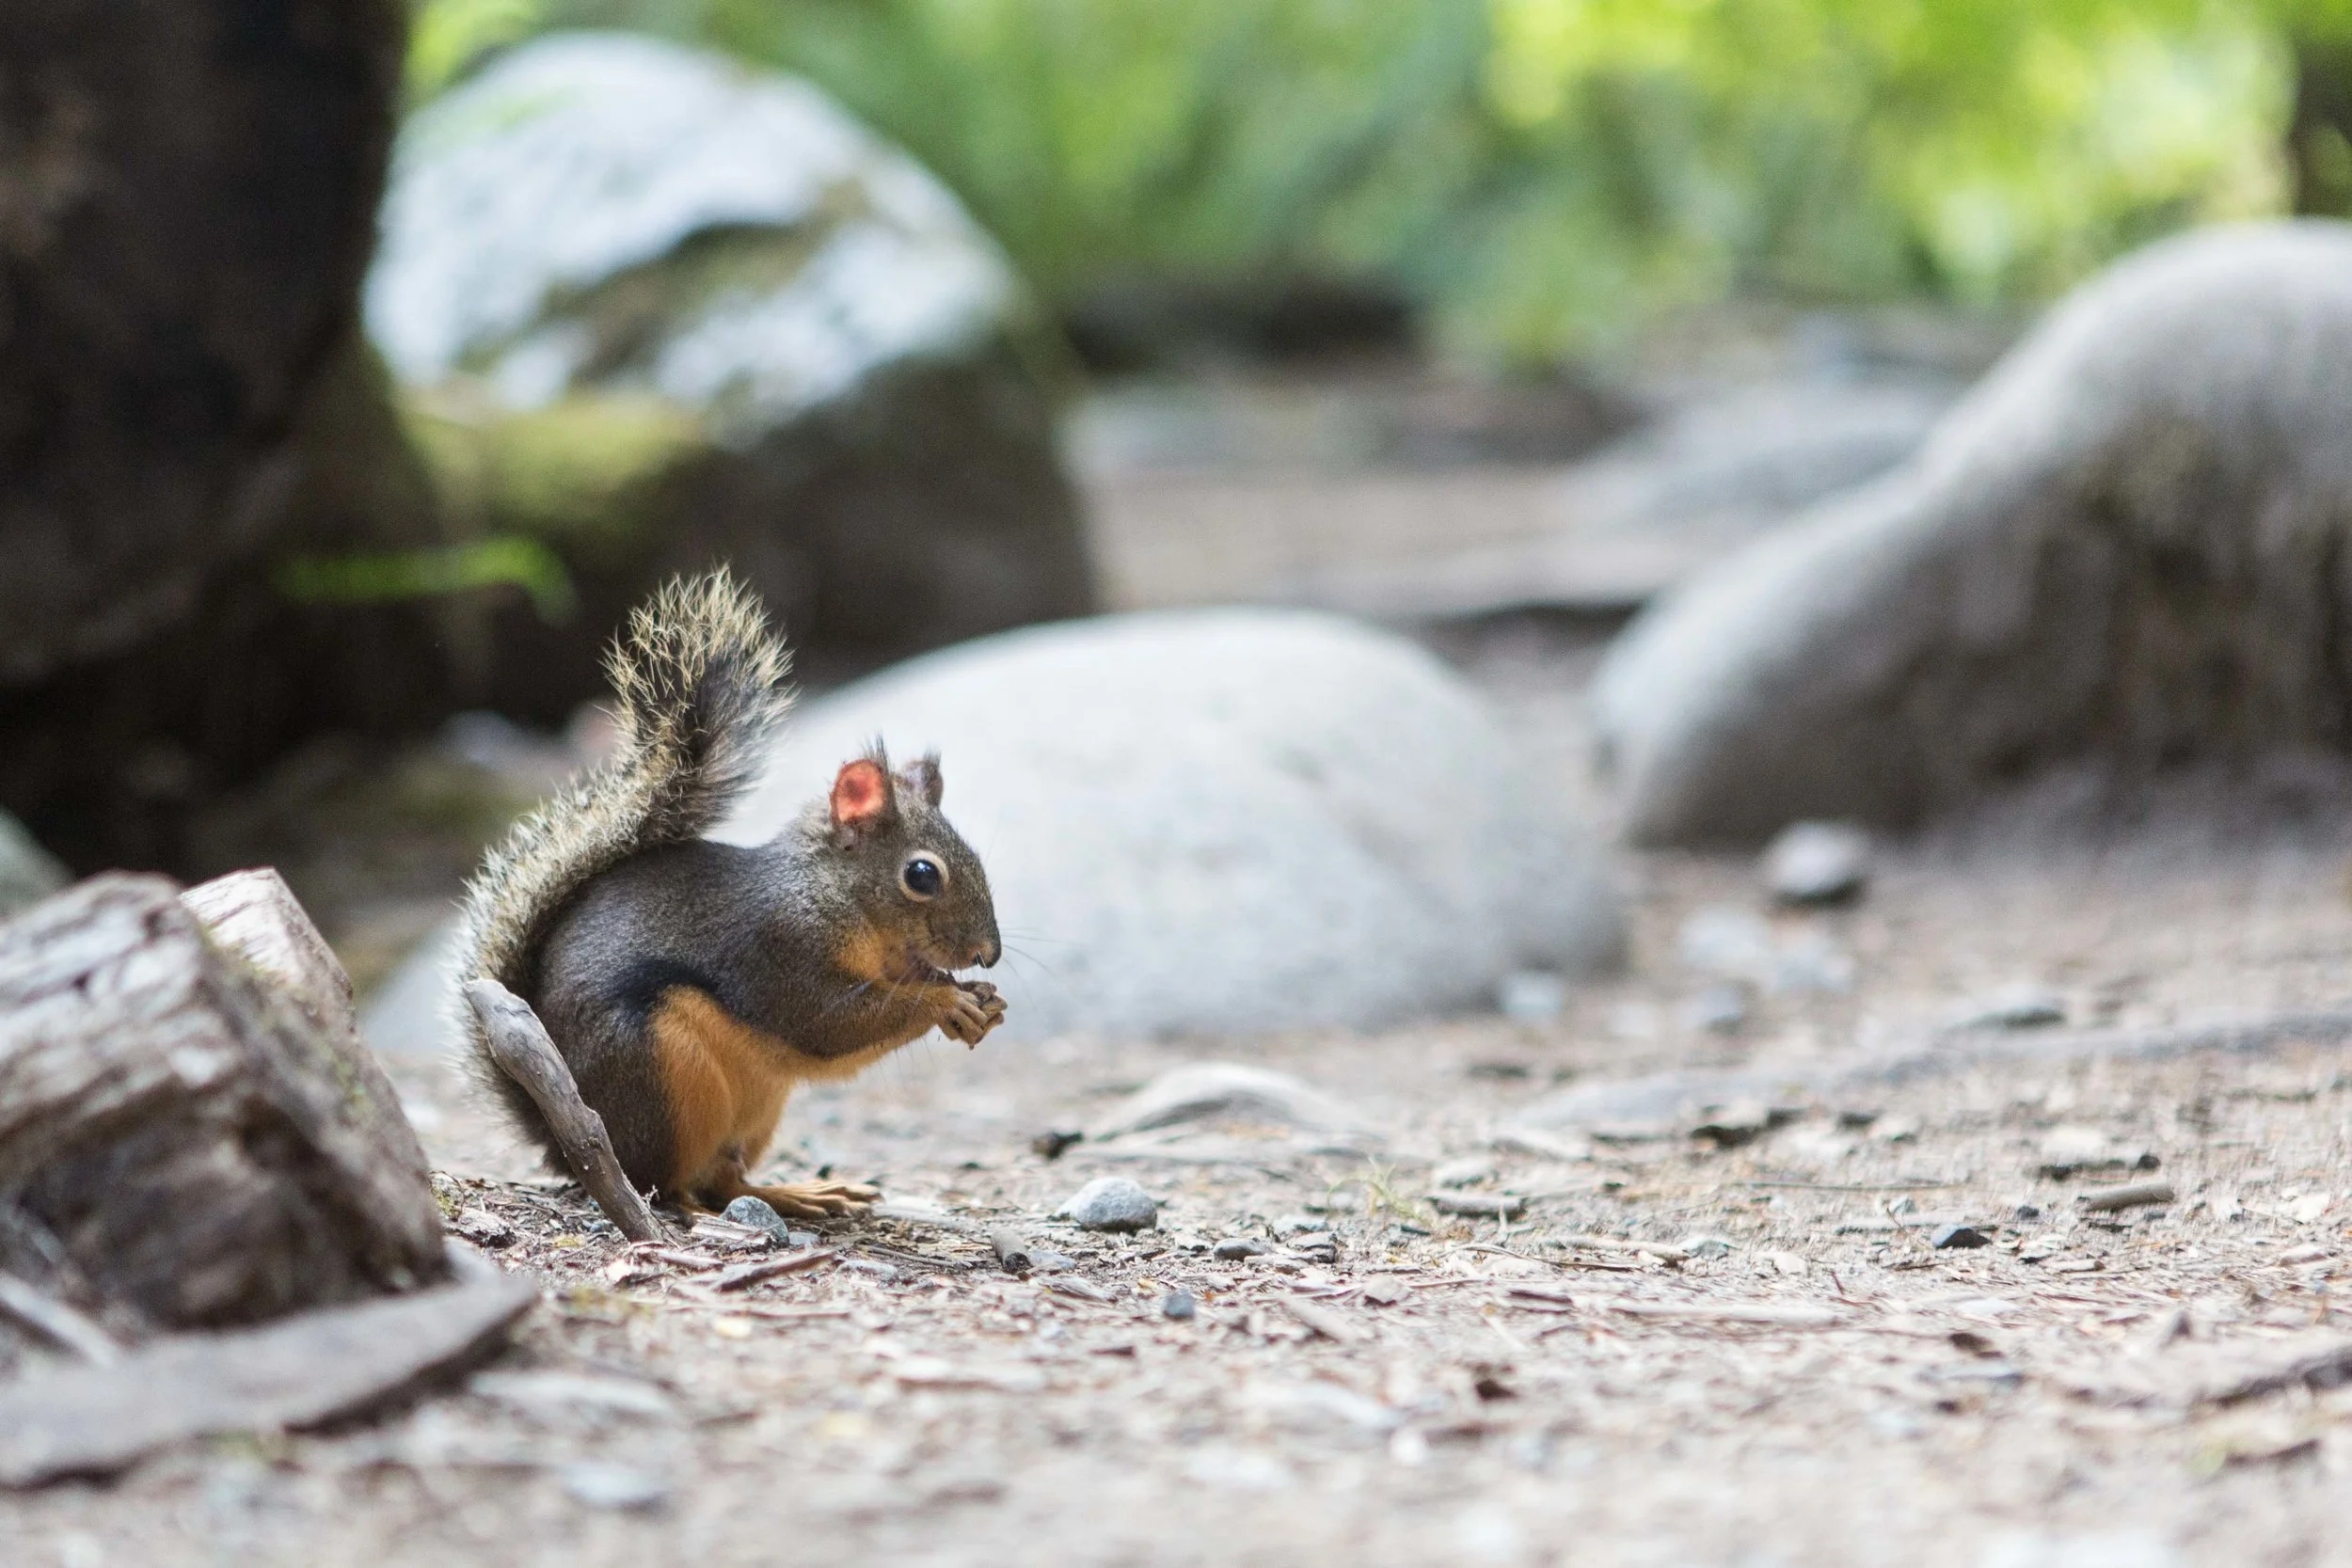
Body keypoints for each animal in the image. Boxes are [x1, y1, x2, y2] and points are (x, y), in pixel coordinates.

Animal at [453, 568, 1006, 1220]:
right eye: (921, 875)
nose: (989, 954)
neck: (836, 898)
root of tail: (557, 1139)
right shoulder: (781, 948)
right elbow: (831, 1022)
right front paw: (946, 1001)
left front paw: (978, 1001)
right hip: (664, 1074)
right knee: (668, 1180)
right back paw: (689, 1208)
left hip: (759, 1105)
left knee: (727, 1180)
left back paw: (796, 1192)